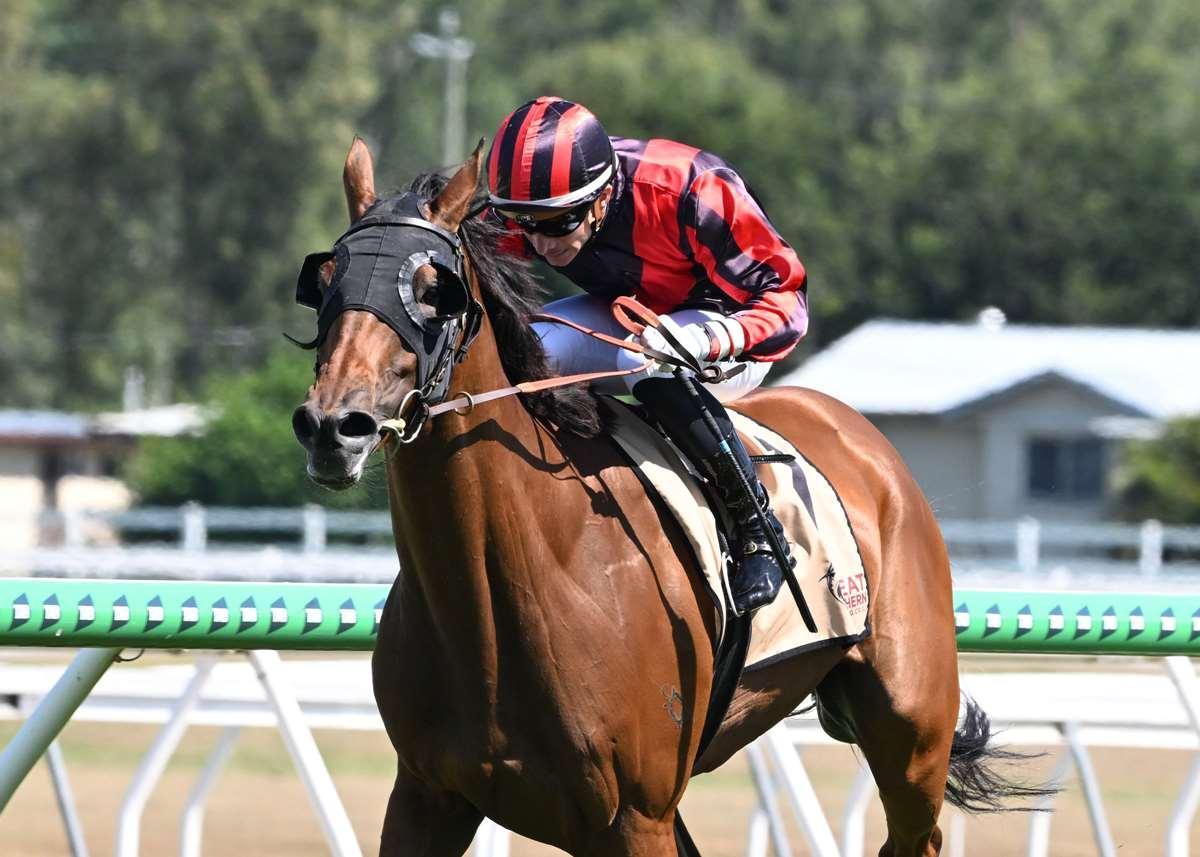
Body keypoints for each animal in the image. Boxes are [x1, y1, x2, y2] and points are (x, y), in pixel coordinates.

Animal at [291, 138, 1042, 857]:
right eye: (325, 281)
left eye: (431, 288)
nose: (334, 425)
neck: (501, 593)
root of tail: (861, 436)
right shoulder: (428, 797)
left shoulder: (635, 816)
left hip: (911, 728)